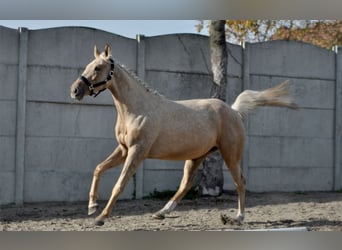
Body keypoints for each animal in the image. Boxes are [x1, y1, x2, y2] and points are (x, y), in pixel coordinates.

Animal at [69, 44, 296, 226]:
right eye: (88, 65)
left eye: (97, 68)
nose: (75, 91)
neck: (137, 109)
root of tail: (233, 111)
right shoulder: (124, 150)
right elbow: (99, 168)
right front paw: (92, 206)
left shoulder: (137, 152)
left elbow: (119, 185)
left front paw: (100, 218)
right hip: (196, 157)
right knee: (186, 184)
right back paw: (161, 213)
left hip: (231, 155)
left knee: (240, 182)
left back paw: (238, 217)